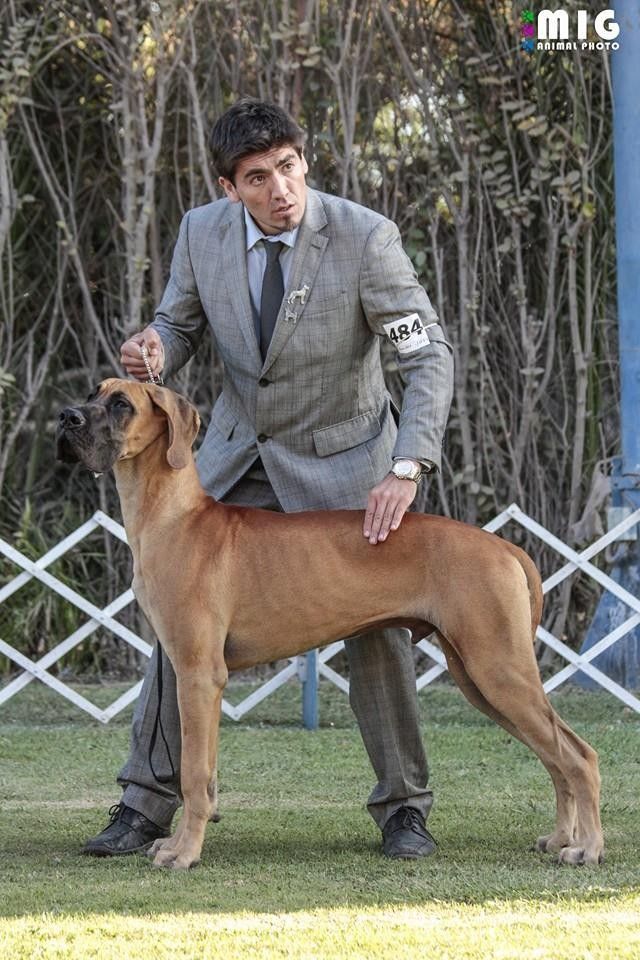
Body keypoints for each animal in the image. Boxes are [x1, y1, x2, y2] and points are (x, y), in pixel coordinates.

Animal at [56, 379, 604, 869]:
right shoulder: (183, 670)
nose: (66, 418)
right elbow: (204, 775)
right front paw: (177, 841)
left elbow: (193, 773)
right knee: (556, 757)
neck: (173, 515)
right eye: (93, 392)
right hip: (480, 678)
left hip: (498, 670)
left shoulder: (198, 674)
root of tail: (504, 546)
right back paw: (560, 838)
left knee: (579, 756)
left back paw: (587, 848)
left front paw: (184, 854)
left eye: (121, 404)